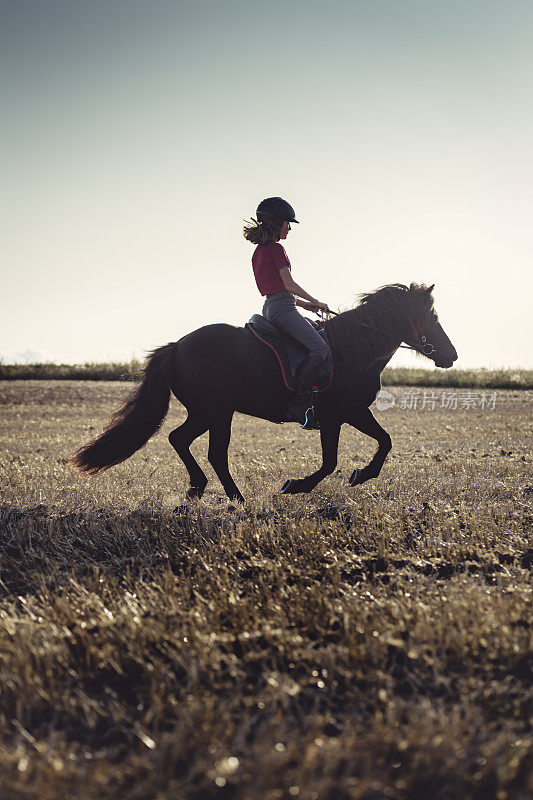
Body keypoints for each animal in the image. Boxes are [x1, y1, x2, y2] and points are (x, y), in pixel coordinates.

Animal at [71, 284, 458, 504]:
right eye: (431, 316)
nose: (451, 355)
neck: (354, 348)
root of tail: (177, 346)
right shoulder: (339, 415)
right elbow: (336, 460)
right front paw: (299, 485)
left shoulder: (351, 413)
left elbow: (383, 442)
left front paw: (359, 476)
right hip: (217, 413)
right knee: (215, 453)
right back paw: (235, 497)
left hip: (205, 413)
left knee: (179, 439)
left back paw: (198, 488)